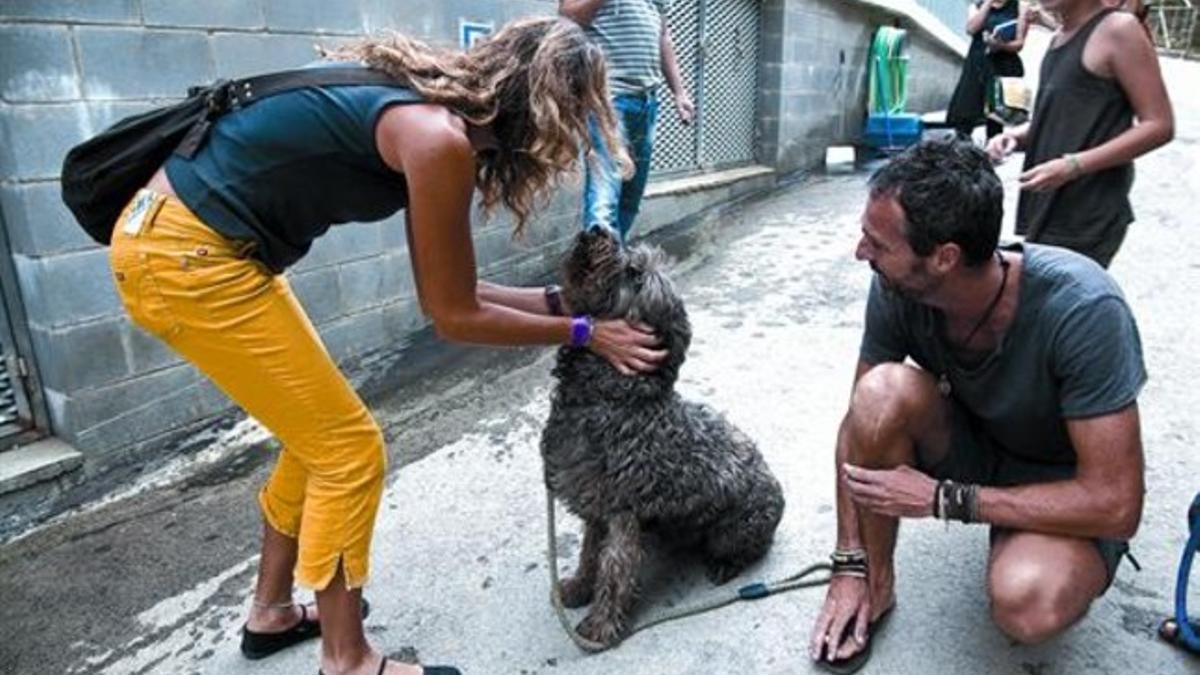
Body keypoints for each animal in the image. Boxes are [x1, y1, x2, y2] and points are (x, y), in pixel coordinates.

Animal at [540, 228, 782, 643]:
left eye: (636, 274)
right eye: (630, 255)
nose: (597, 229)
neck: (611, 396)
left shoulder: (621, 513)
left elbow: (614, 567)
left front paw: (601, 624)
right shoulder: (596, 509)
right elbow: (589, 554)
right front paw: (578, 587)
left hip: (733, 531)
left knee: (750, 549)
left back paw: (726, 565)